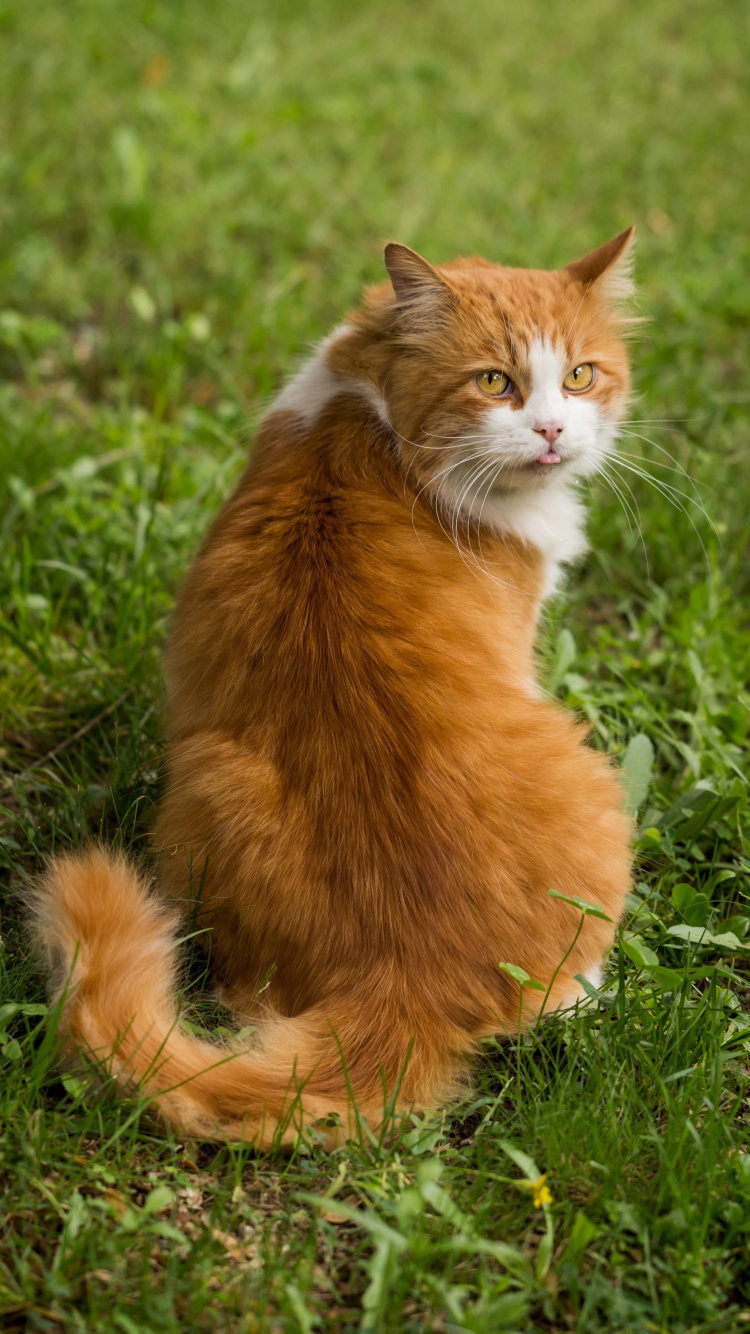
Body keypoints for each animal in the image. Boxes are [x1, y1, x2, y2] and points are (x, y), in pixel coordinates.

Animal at [32, 229, 632, 1147]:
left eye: (579, 375)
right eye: (495, 382)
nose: (553, 430)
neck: (371, 417)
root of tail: (407, 972)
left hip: (204, 787)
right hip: (595, 778)